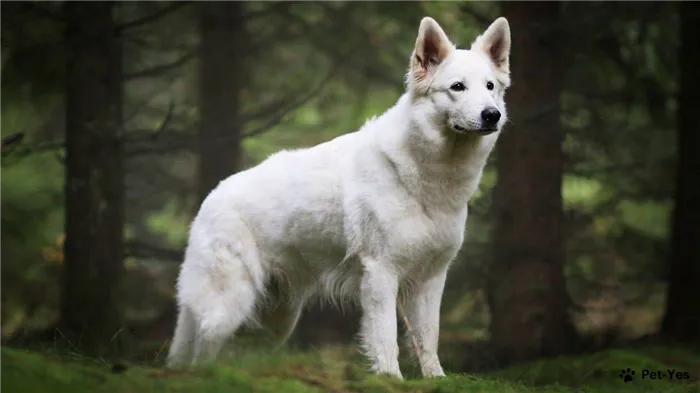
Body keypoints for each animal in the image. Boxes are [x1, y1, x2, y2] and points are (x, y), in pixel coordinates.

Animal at [167, 16, 512, 380]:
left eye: (490, 86)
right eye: (457, 87)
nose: (492, 115)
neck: (426, 177)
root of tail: (210, 198)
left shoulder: (429, 279)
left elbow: (428, 338)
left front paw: (435, 380)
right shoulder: (381, 274)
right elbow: (386, 338)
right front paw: (390, 380)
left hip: (278, 318)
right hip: (228, 305)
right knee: (203, 352)